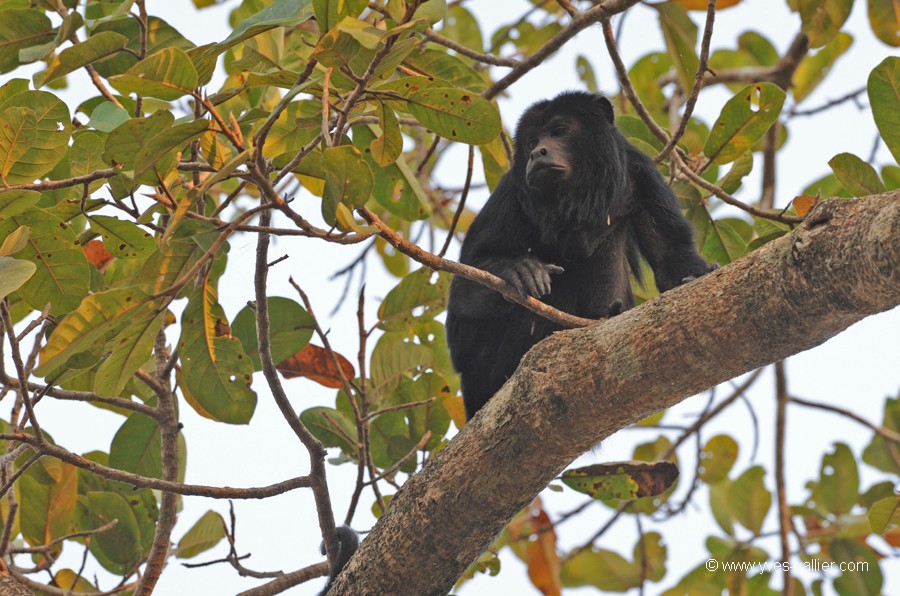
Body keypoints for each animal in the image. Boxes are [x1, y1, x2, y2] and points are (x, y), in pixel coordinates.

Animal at [446, 92, 712, 420]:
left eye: (559, 131)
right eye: (531, 141)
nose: (537, 153)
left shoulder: (641, 174)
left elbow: (670, 259)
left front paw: (694, 277)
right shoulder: (511, 193)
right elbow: (461, 300)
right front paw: (517, 271)